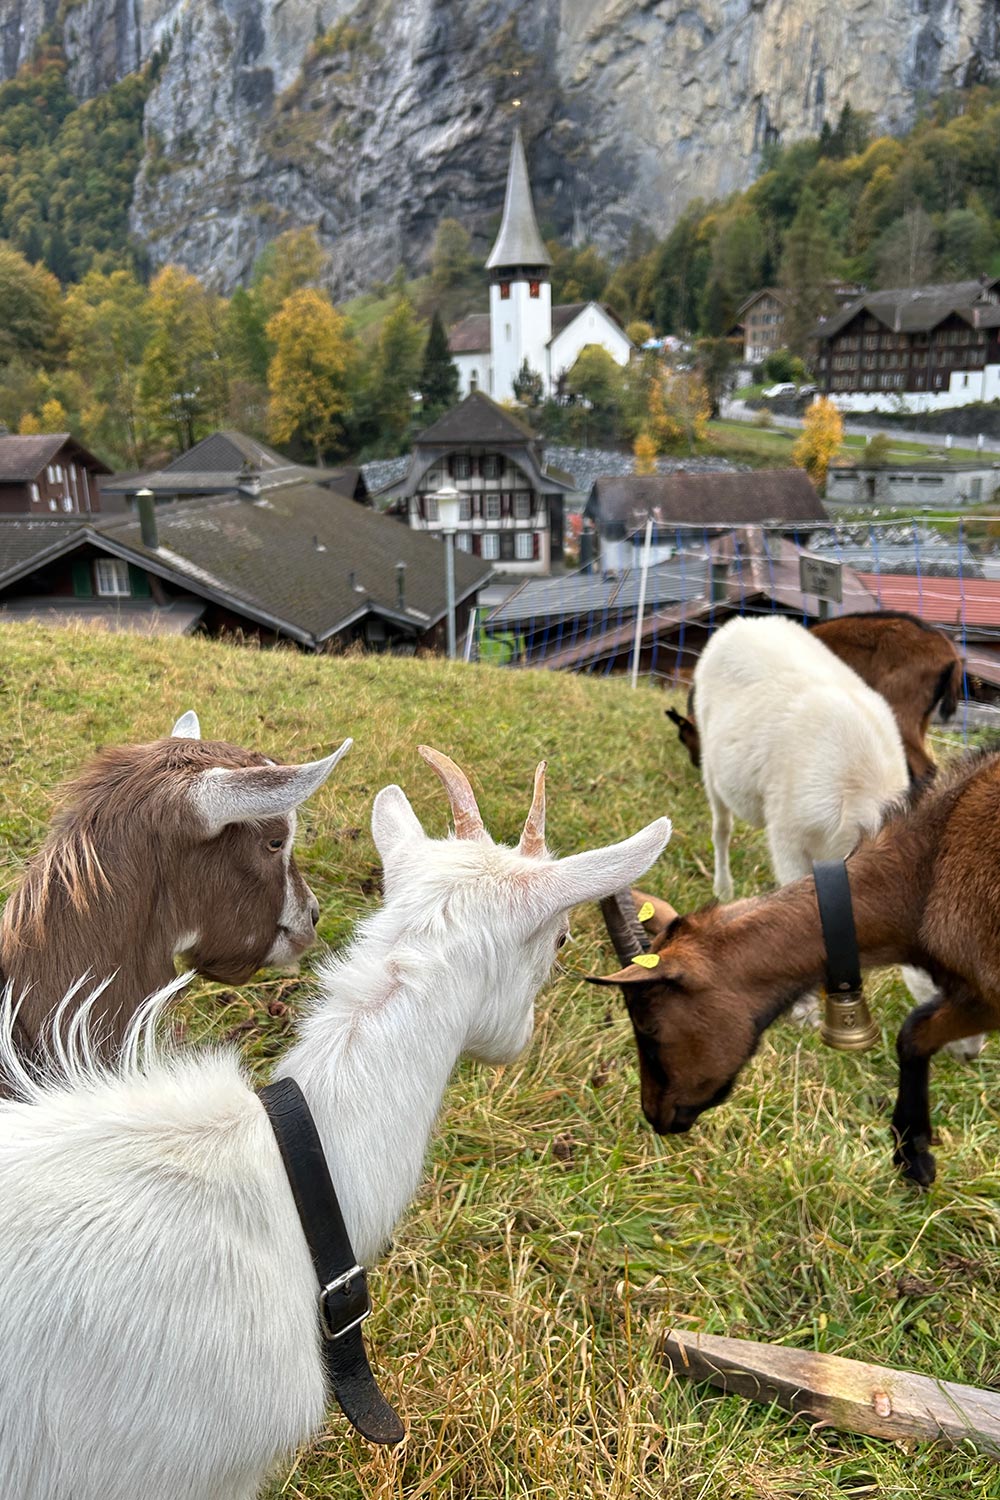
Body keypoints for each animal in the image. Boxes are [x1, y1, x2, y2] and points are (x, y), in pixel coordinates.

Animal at [590, 750, 1000, 1182]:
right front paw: (914, 1157)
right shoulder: (977, 996)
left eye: (648, 1026)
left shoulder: (987, 992)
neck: (921, 874)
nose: (655, 1115)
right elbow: (916, 1033)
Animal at [668, 606, 965, 786]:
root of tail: (947, 652)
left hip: (900, 710)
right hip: (920, 717)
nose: (697, 764)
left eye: (684, 737)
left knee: (924, 770)